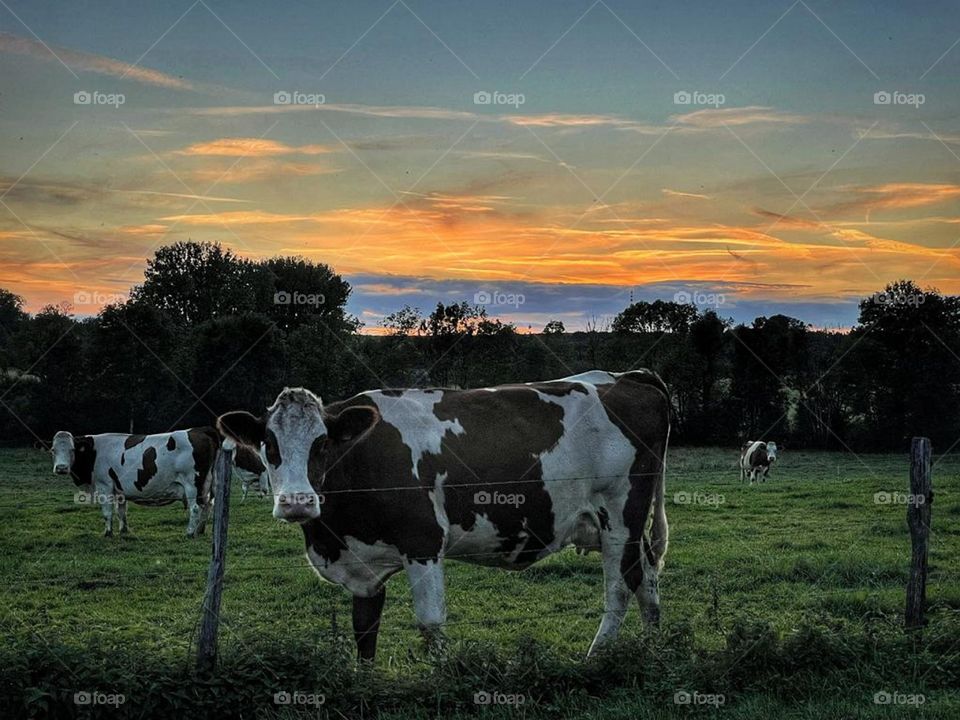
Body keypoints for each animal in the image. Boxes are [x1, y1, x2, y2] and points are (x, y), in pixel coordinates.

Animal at [50, 428, 219, 537]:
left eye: (72, 450)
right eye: (53, 450)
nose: (61, 468)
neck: (94, 452)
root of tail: (198, 430)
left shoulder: (104, 485)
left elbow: (107, 512)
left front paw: (108, 533)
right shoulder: (119, 490)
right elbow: (121, 511)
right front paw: (123, 531)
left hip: (192, 485)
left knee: (195, 508)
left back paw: (190, 533)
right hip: (208, 486)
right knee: (208, 506)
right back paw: (200, 530)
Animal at [217, 369, 671, 661]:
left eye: (323, 444)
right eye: (268, 444)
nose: (297, 502)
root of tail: (628, 376)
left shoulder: (423, 543)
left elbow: (431, 624)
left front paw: (442, 677)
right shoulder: (362, 563)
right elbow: (364, 629)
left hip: (620, 516)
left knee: (621, 586)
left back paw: (597, 656)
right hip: (615, 525)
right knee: (646, 577)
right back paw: (653, 650)